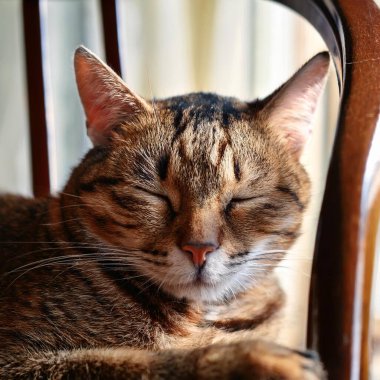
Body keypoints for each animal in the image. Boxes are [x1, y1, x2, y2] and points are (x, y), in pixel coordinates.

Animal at [0, 46, 330, 378]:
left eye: (242, 198)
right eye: (155, 195)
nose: (199, 249)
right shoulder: (16, 361)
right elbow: (140, 361)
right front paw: (255, 358)